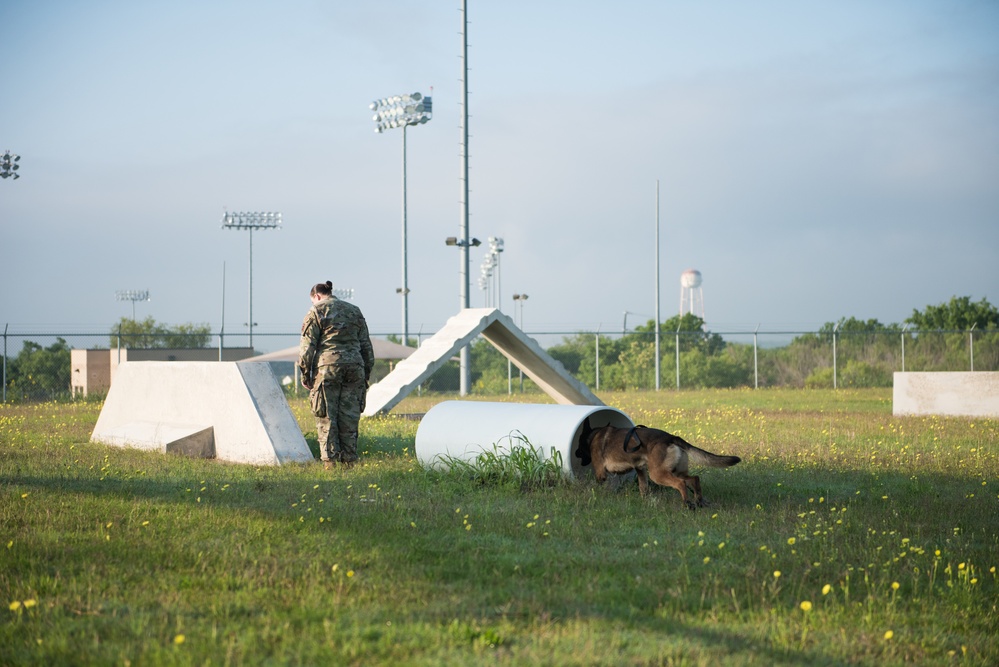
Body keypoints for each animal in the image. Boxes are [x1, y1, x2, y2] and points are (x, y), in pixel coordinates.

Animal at [580, 420, 744, 508]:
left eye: (578, 448)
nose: (577, 454)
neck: (593, 436)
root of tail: (671, 437)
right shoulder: (640, 470)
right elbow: (643, 488)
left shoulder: (600, 473)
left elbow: (599, 485)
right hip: (675, 470)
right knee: (694, 479)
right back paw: (699, 501)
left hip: (657, 474)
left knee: (680, 483)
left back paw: (687, 504)